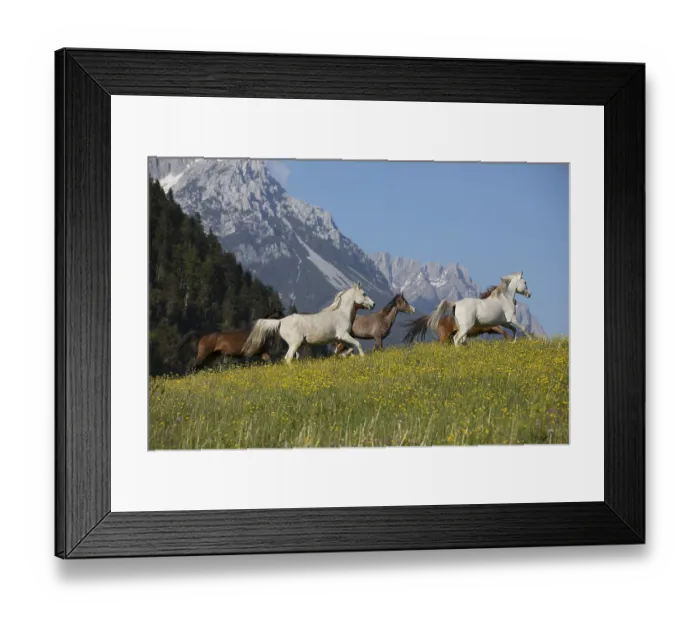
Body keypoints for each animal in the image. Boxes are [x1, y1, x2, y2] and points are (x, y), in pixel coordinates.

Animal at [243, 283, 375, 363]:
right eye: (364, 294)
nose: (373, 304)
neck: (342, 314)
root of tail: (281, 321)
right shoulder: (343, 335)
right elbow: (358, 344)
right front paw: (363, 358)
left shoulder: (341, 338)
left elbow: (350, 349)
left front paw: (345, 356)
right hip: (295, 343)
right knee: (288, 358)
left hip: (298, 345)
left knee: (294, 358)